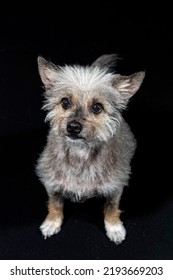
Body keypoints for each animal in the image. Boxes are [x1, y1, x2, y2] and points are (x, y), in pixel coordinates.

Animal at [36, 53, 145, 244]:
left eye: (97, 107)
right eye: (65, 102)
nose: (73, 127)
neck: (80, 154)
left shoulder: (115, 187)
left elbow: (111, 208)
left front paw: (114, 228)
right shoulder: (51, 183)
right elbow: (55, 204)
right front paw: (52, 223)